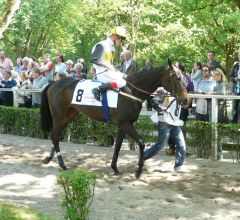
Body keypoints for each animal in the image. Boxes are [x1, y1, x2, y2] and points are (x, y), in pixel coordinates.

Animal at [40, 61, 188, 178]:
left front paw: (115, 168)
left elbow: (118, 145)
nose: (186, 99)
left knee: (56, 135)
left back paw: (49, 158)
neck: (131, 90)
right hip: (59, 116)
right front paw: (138, 170)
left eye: (184, 78)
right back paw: (62, 165)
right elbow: (141, 142)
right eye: (178, 78)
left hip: (69, 116)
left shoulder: (123, 125)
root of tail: (53, 83)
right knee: (55, 136)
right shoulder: (125, 123)